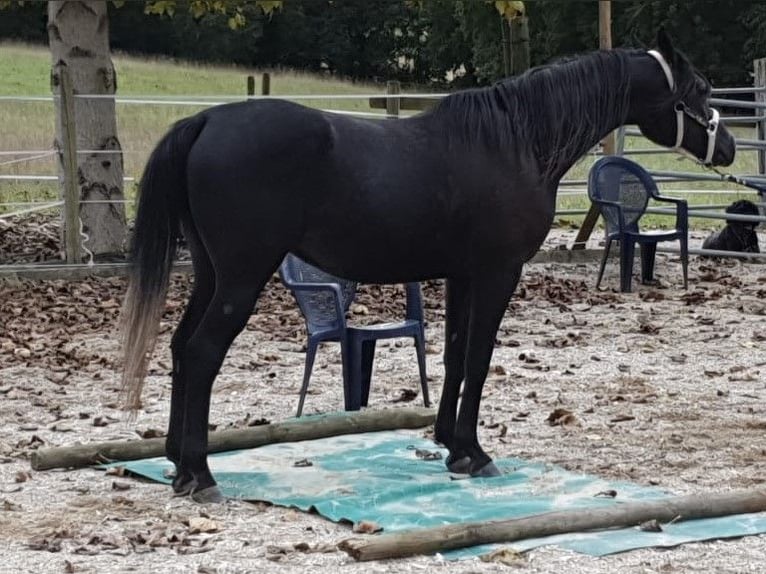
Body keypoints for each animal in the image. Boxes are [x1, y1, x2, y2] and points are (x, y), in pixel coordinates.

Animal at [121, 30, 736, 504]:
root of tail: (205, 122)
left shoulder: (461, 274)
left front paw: (449, 445)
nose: (729, 148)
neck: (514, 143)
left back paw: (177, 463)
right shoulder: (497, 273)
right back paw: (201, 475)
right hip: (241, 278)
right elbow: (481, 359)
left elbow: (455, 355)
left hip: (211, 274)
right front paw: (475, 452)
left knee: (180, 347)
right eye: (700, 91)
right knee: (202, 353)